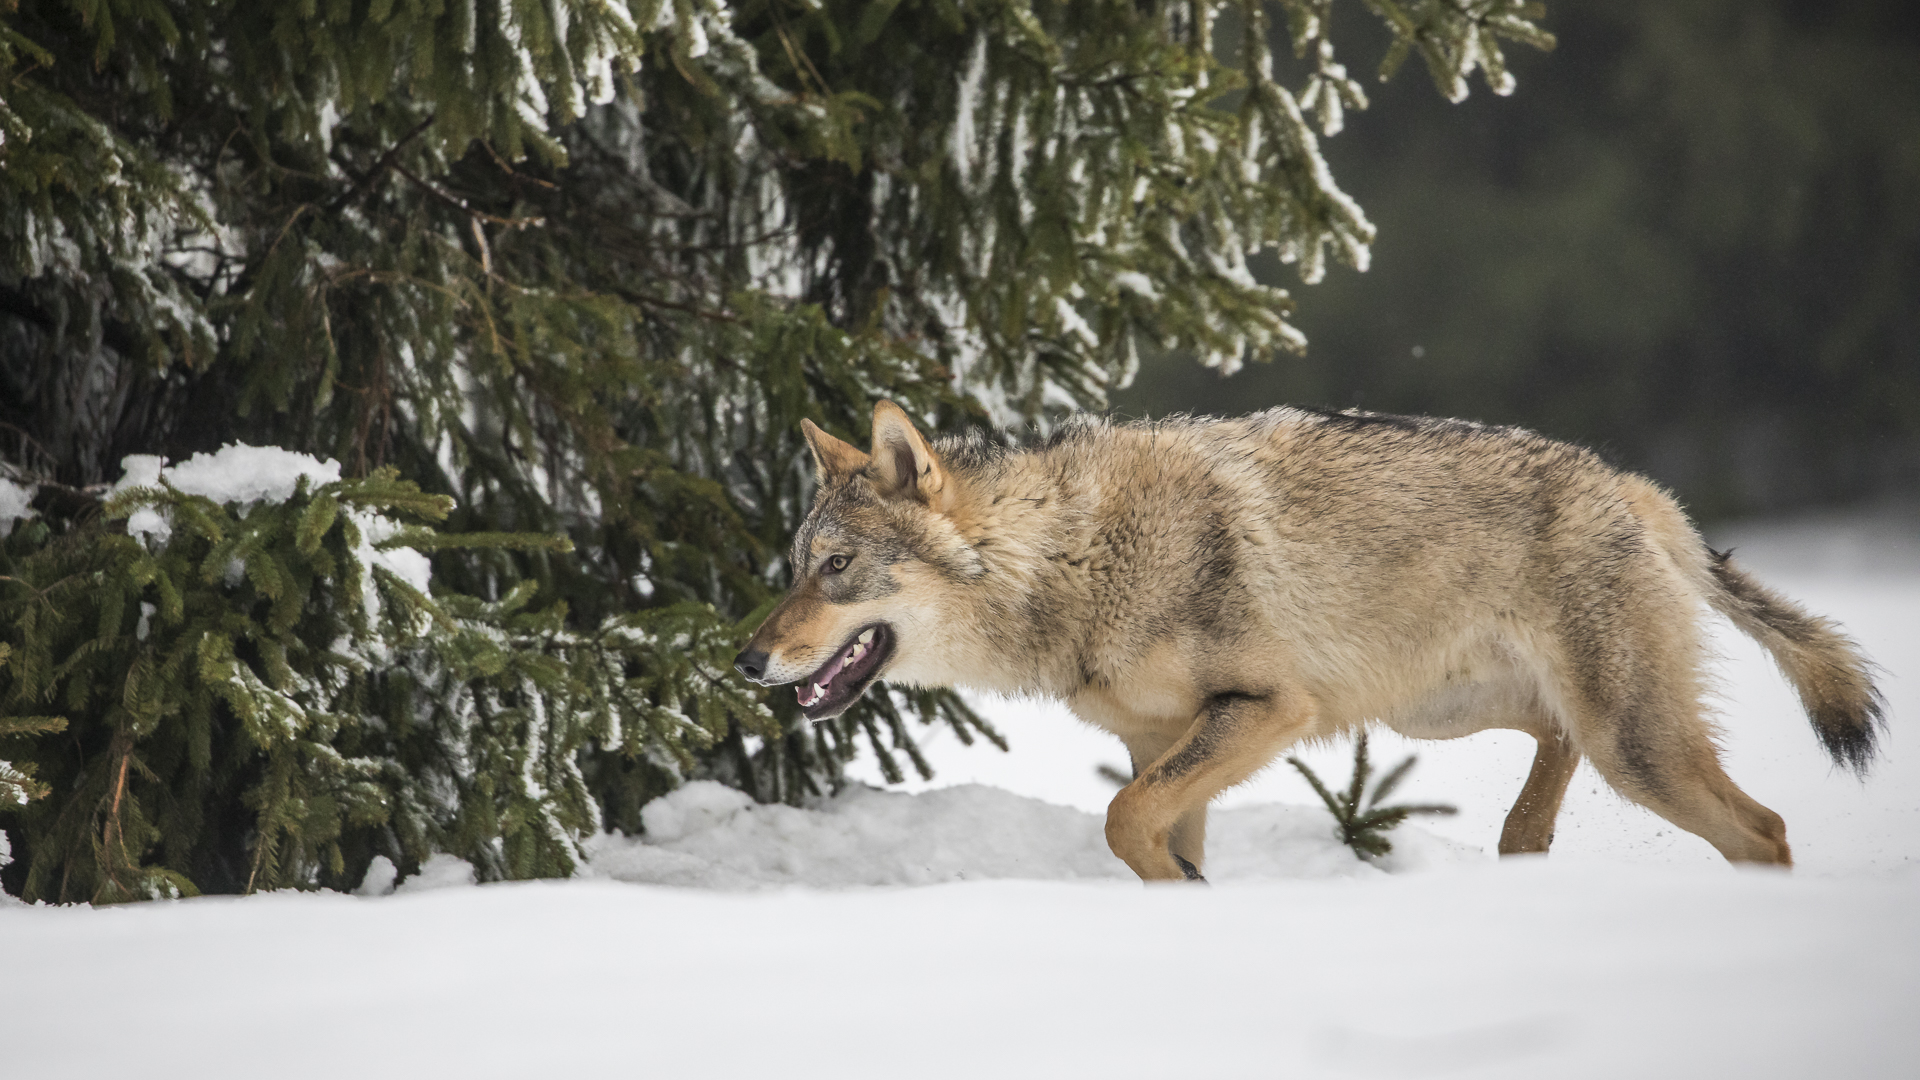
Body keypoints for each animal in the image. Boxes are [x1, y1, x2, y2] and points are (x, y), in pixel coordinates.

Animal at [729, 399, 1873, 880]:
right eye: (792, 566)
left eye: (835, 569)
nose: (744, 660)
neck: (1075, 557)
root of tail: (1629, 484)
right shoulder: (1162, 748)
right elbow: (1149, 835)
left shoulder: (1271, 711)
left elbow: (1121, 823)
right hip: (1459, 713)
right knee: (1556, 754)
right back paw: (1522, 845)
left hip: (1630, 748)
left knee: (1764, 829)